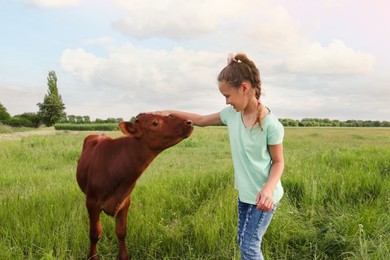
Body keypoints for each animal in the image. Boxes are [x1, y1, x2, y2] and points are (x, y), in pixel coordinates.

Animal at [76, 114, 192, 260]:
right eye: (155, 122)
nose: (189, 121)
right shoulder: (92, 202)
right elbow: (95, 233)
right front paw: (92, 256)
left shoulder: (125, 201)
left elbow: (121, 231)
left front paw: (124, 256)